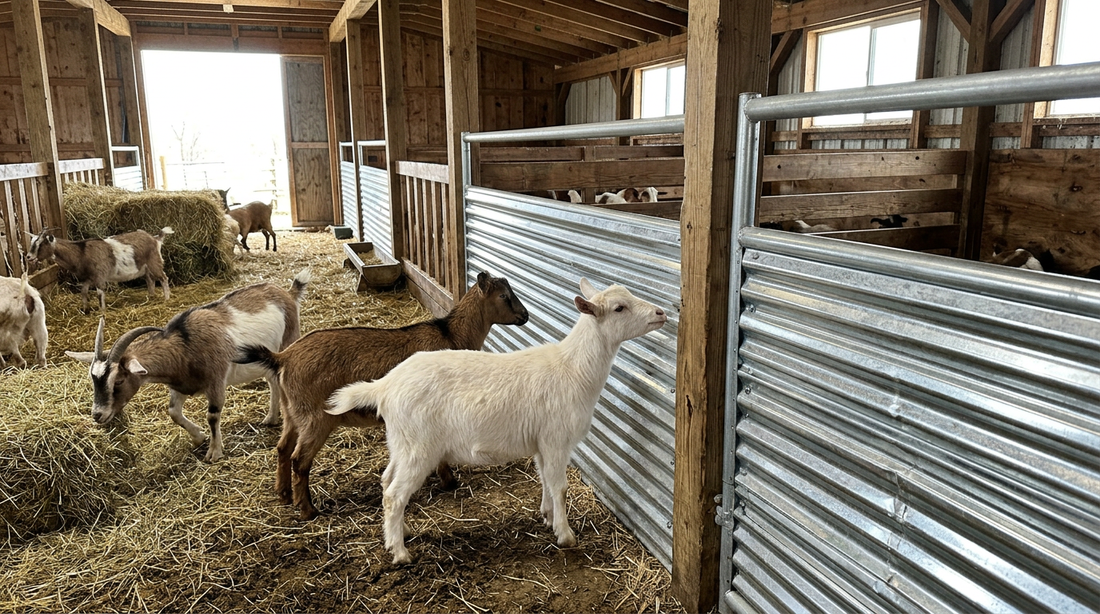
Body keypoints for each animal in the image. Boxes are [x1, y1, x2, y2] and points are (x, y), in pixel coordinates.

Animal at [27, 227, 173, 313]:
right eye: (32, 243)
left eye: (42, 244)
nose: (28, 257)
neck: (81, 252)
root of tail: (155, 238)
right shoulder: (88, 277)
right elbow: (83, 291)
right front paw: (85, 309)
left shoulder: (99, 277)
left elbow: (99, 294)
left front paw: (102, 312)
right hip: (145, 268)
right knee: (150, 280)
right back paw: (151, 296)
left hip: (154, 262)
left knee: (163, 278)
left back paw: (166, 298)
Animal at [65, 269, 310, 462]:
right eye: (93, 380)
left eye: (118, 381)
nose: (98, 415)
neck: (185, 344)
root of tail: (288, 294)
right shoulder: (180, 385)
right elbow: (173, 412)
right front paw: (199, 437)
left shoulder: (216, 381)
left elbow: (212, 416)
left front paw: (214, 452)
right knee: (273, 382)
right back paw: (271, 418)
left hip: (288, 341)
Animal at [236, 271, 529, 520]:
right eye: (504, 296)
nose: (525, 316)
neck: (451, 336)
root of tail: (282, 358)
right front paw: (449, 481)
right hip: (315, 417)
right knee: (300, 460)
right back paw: (307, 510)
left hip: (292, 411)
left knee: (283, 448)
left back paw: (284, 495)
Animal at [327, 278, 667, 564]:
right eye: (619, 308)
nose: (662, 313)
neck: (573, 369)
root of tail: (385, 385)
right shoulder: (557, 439)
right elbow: (560, 486)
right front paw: (565, 535)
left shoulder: (542, 442)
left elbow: (545, 480)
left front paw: (547, 516)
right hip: (419, 447)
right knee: (394, 495)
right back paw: (400, 553)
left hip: (401, 442)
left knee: (387, 482)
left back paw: (400, 533)